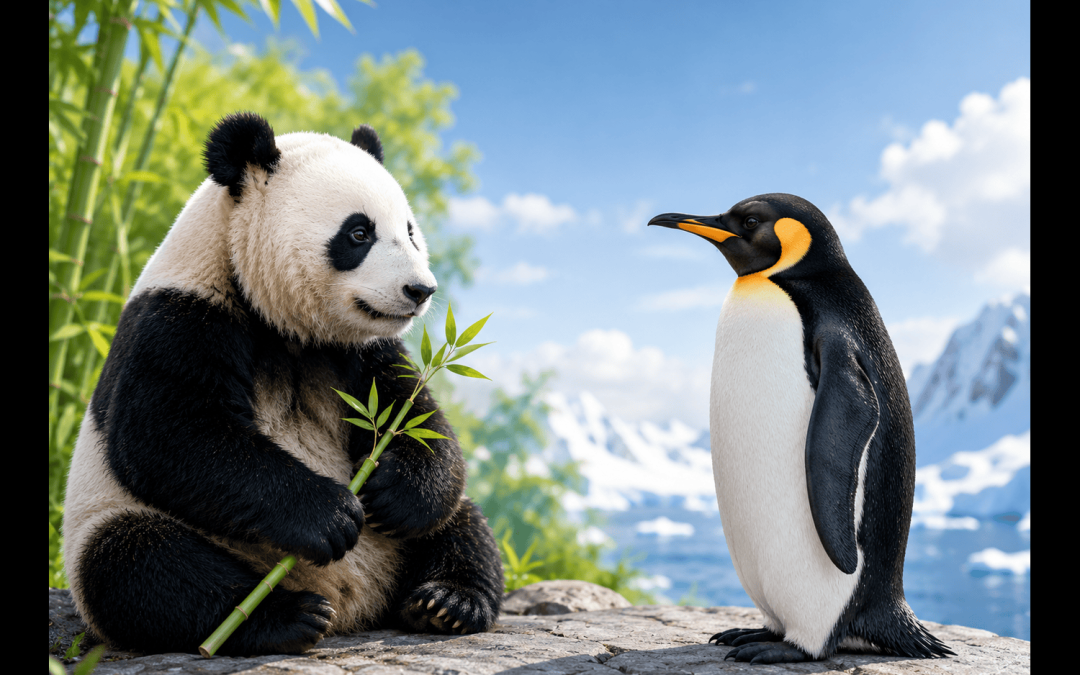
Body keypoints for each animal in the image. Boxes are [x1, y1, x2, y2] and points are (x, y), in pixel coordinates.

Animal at [62, 112, 504, 656]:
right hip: (108, 520)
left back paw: (447, 601)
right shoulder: (182, 315)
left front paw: (393, 491)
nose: (419, 290)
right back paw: (280, 617)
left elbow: (415, 416)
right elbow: (170, 435)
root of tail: (353, 603)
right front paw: (331, 516)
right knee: (140, 565)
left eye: (409, 232)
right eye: (359, 233)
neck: (288, 326)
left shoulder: (361, 352)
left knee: (461, 523)